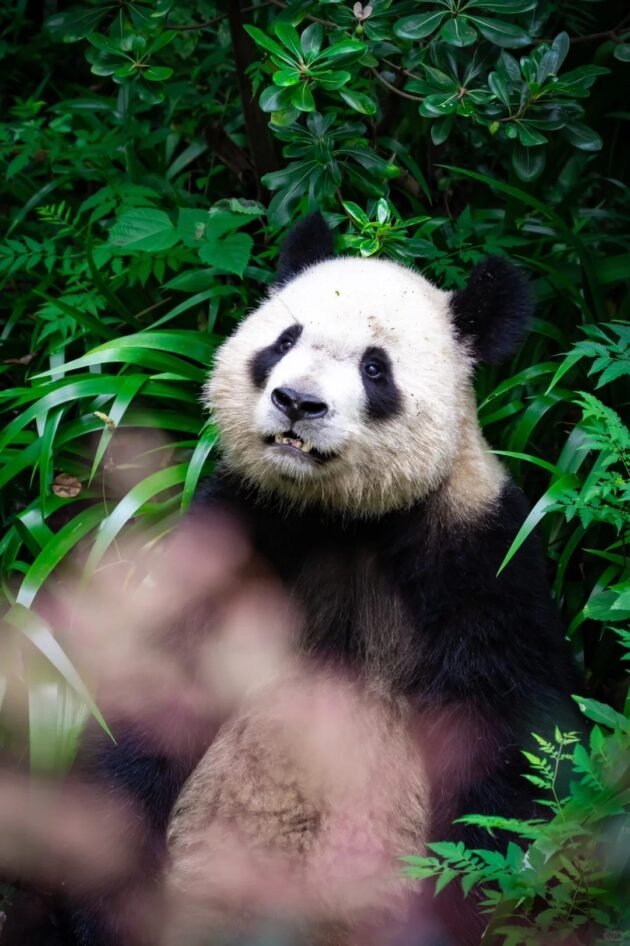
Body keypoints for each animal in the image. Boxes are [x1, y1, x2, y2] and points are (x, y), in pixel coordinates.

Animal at [3, 213, 577, 946]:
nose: (297, 402)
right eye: (284, 339)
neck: (342, 516)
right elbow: (155, 692)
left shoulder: (479, 552)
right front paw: (109, 906)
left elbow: (507, 744)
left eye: (374, 366)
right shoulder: (236, 529)